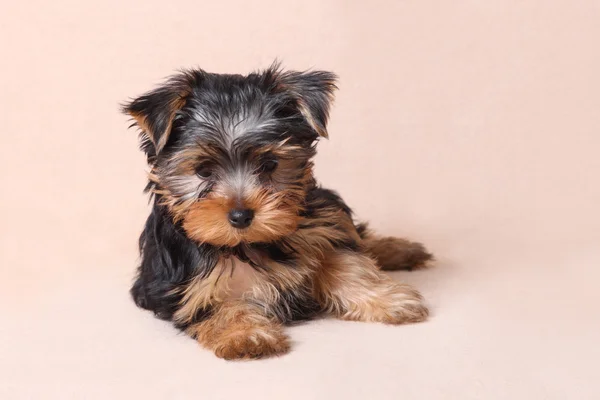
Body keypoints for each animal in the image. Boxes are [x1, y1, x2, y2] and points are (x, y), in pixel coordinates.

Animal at [123, 65, 432, 360]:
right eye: (203, 170)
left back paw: (402, 250)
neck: (250, 244)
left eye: (270, 164)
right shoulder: (187, 286)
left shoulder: (322, 226)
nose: (240, 216)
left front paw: (388, 300)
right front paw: (245, 335)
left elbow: (346, 262)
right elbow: (221, 306)